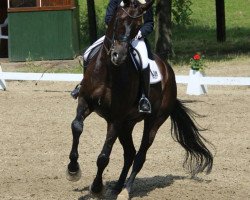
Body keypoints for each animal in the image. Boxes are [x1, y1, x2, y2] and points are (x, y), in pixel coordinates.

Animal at [66, 0, 213, 198]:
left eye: (137, 26)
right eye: (119, 20)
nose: (118, 55)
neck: (109, 71)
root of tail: (169, 73)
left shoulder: (116, 118)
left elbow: (104, 156)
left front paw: (96, 187)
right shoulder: (85, 102)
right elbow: (76, 126)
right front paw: (73, 169)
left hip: (152, 121)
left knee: (140, 155)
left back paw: (126, 190)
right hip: (127, 125)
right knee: (129, 153)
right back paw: (117, 187)